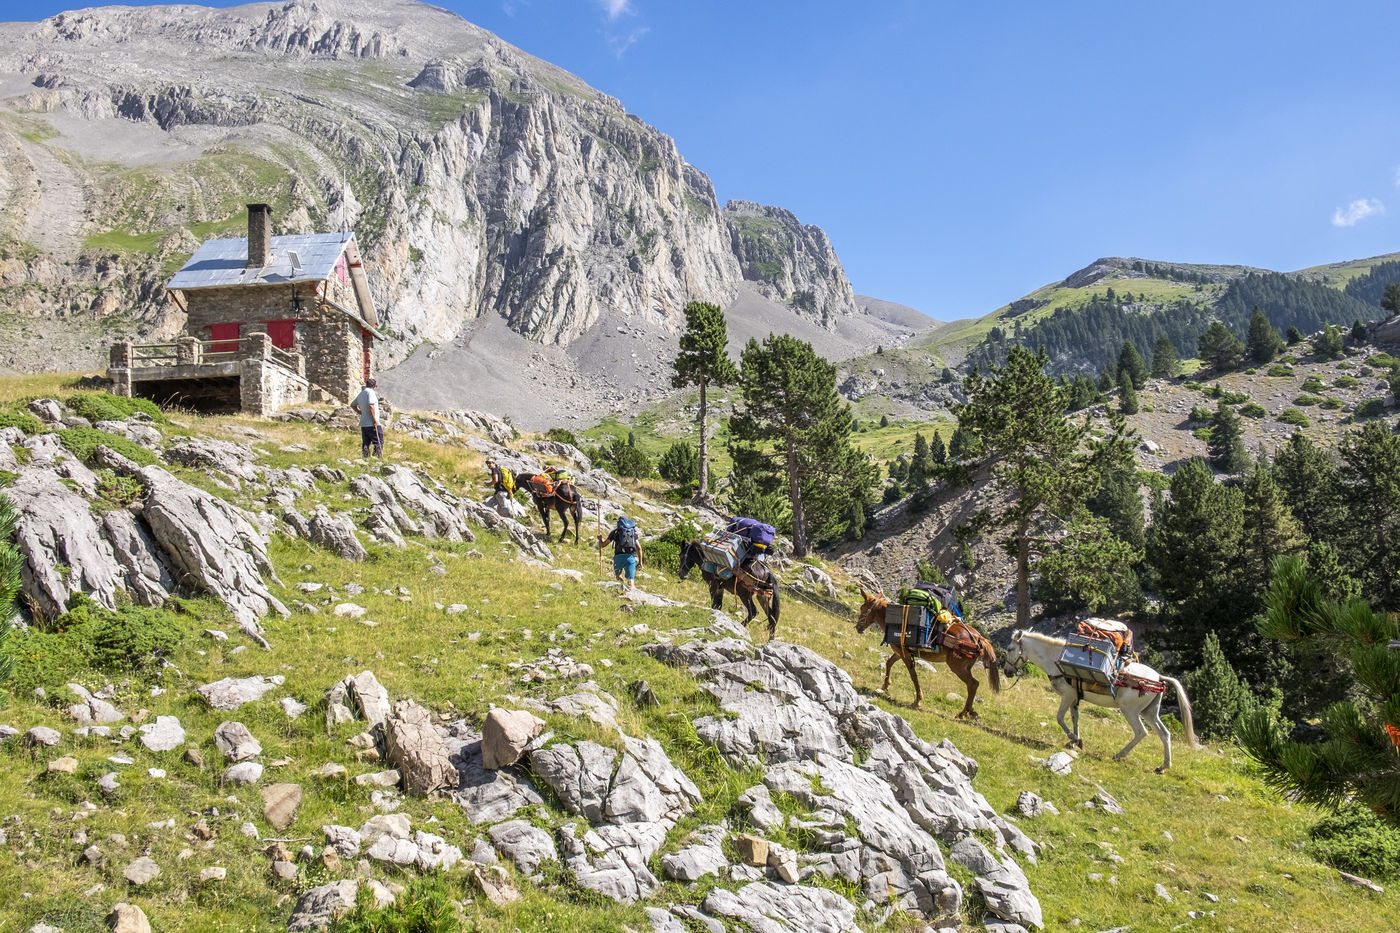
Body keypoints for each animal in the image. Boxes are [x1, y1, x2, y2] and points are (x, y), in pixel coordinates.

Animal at [855, 590, 1000, 718]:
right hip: (966, 667)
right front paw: (885, 685)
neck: (896, 620)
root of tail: (979, 637)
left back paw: (964, 713)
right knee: (973, 685)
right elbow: (889, 663)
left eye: (863, 608)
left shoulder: (904, 654)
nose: (858, 627)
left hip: (957, 667)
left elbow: (913, 676)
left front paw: (918, 700)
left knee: (973, 684)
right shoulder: (900, 652)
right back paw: (969, 711)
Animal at [1000, 629, 1198, 773]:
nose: (1008, 672)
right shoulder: (1075, 698)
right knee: (1164, 734)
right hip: (1149, 712)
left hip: (1130, 711)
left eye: (1009, 649)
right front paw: (1076, 741)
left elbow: (1059, 718)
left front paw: (1073, 738)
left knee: (1141, 732)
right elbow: (1075, 719)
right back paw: (1163, 766)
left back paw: (1119, 755)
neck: (1057, 661)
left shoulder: (1068, 696)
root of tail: (1158, 678)